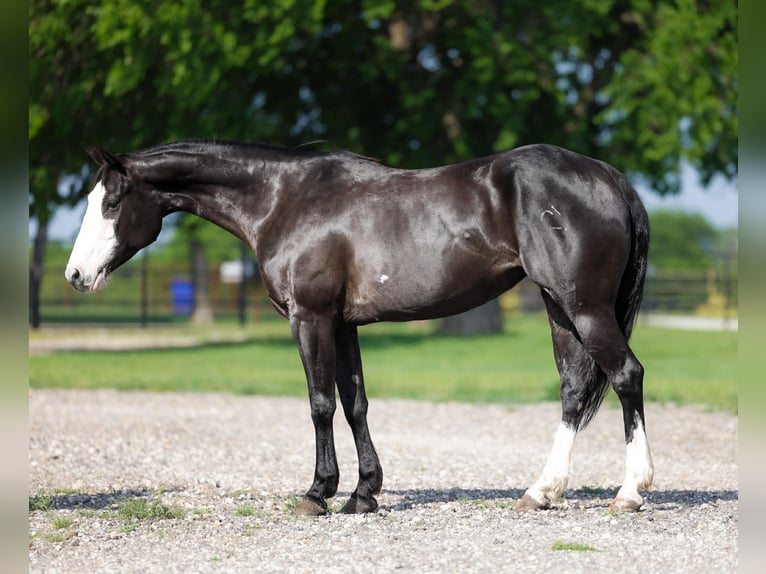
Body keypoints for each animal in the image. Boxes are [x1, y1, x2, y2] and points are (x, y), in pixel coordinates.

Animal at [65, 139, 653, 515]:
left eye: (111, 202)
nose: (75, 276)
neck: (283, 198)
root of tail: (610, 178)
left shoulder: (311, 318)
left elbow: (320, 404)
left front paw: (318, 492)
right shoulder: (343, 325)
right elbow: (355, 404)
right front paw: (364, 493)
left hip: (585, 308)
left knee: (627, 375)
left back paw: (630, 492)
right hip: (560, 309)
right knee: (574, 390)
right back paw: (542, 491)